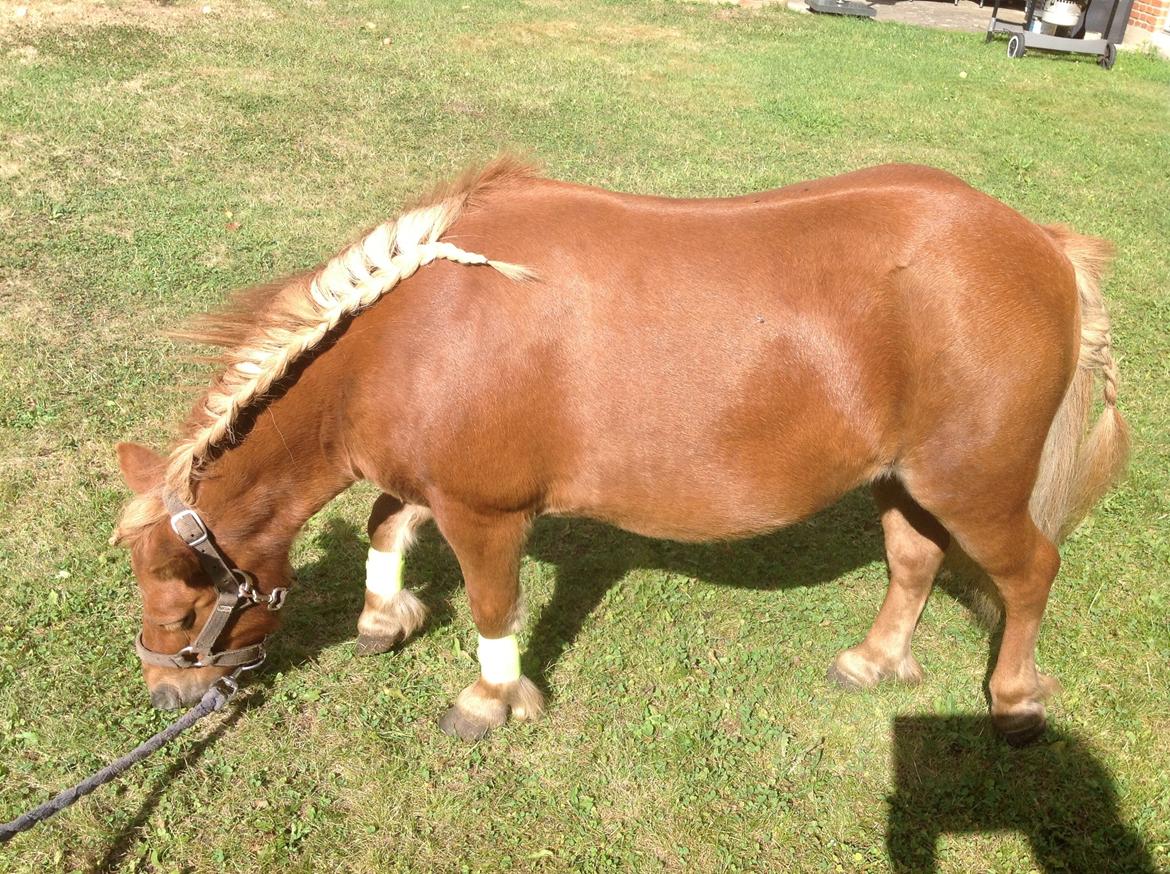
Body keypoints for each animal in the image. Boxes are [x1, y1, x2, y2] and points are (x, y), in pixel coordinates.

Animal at [114, 159, 1127, 744]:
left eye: (187, 598)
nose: (165, 693)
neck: (416, 328)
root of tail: (1041, 246)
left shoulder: (486, 510)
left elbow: (493, 606)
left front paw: (489, 700)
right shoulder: (428, 474)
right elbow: (385, 521)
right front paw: (384, 614)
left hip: (975, 483)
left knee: (1032, 571)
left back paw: (1015, 701)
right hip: (905, 479)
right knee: (914, 561)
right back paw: (876, 659)